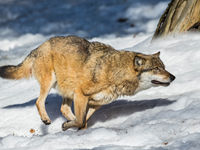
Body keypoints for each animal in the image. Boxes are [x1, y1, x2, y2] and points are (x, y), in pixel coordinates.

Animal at [0, 35, 175, 130]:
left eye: (164, 67)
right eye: (157, 69)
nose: (173, 77)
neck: (115, 73)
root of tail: (38, 47)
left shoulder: (94, 103)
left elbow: (83, 120)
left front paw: (76, 128)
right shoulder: (81, 94)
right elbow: (80, 119)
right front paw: (68, 126)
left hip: (67, 90)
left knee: (63, 108)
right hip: (51, 83)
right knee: (39, 101)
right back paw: (46, 119)